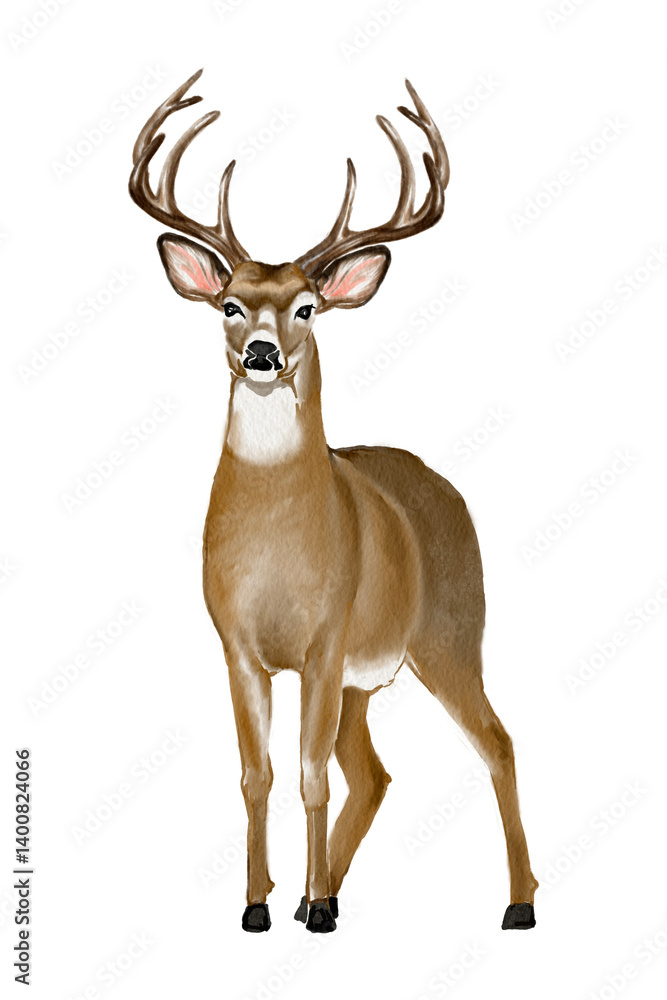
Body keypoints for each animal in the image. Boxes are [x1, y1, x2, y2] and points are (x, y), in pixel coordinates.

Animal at [129, 69, 538, 935]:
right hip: (364, 678)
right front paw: (258, 904)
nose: (260, 353)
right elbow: (257, 772)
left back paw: (515, 903)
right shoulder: (237, 644)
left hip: (449, 632)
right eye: (229, 303)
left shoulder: (323, 638)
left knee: (494, 740)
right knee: (374, 774)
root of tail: (441, 485)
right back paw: (324, 890)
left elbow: (307, 772)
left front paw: (308, 906)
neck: (276, 545)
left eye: (306, 307)